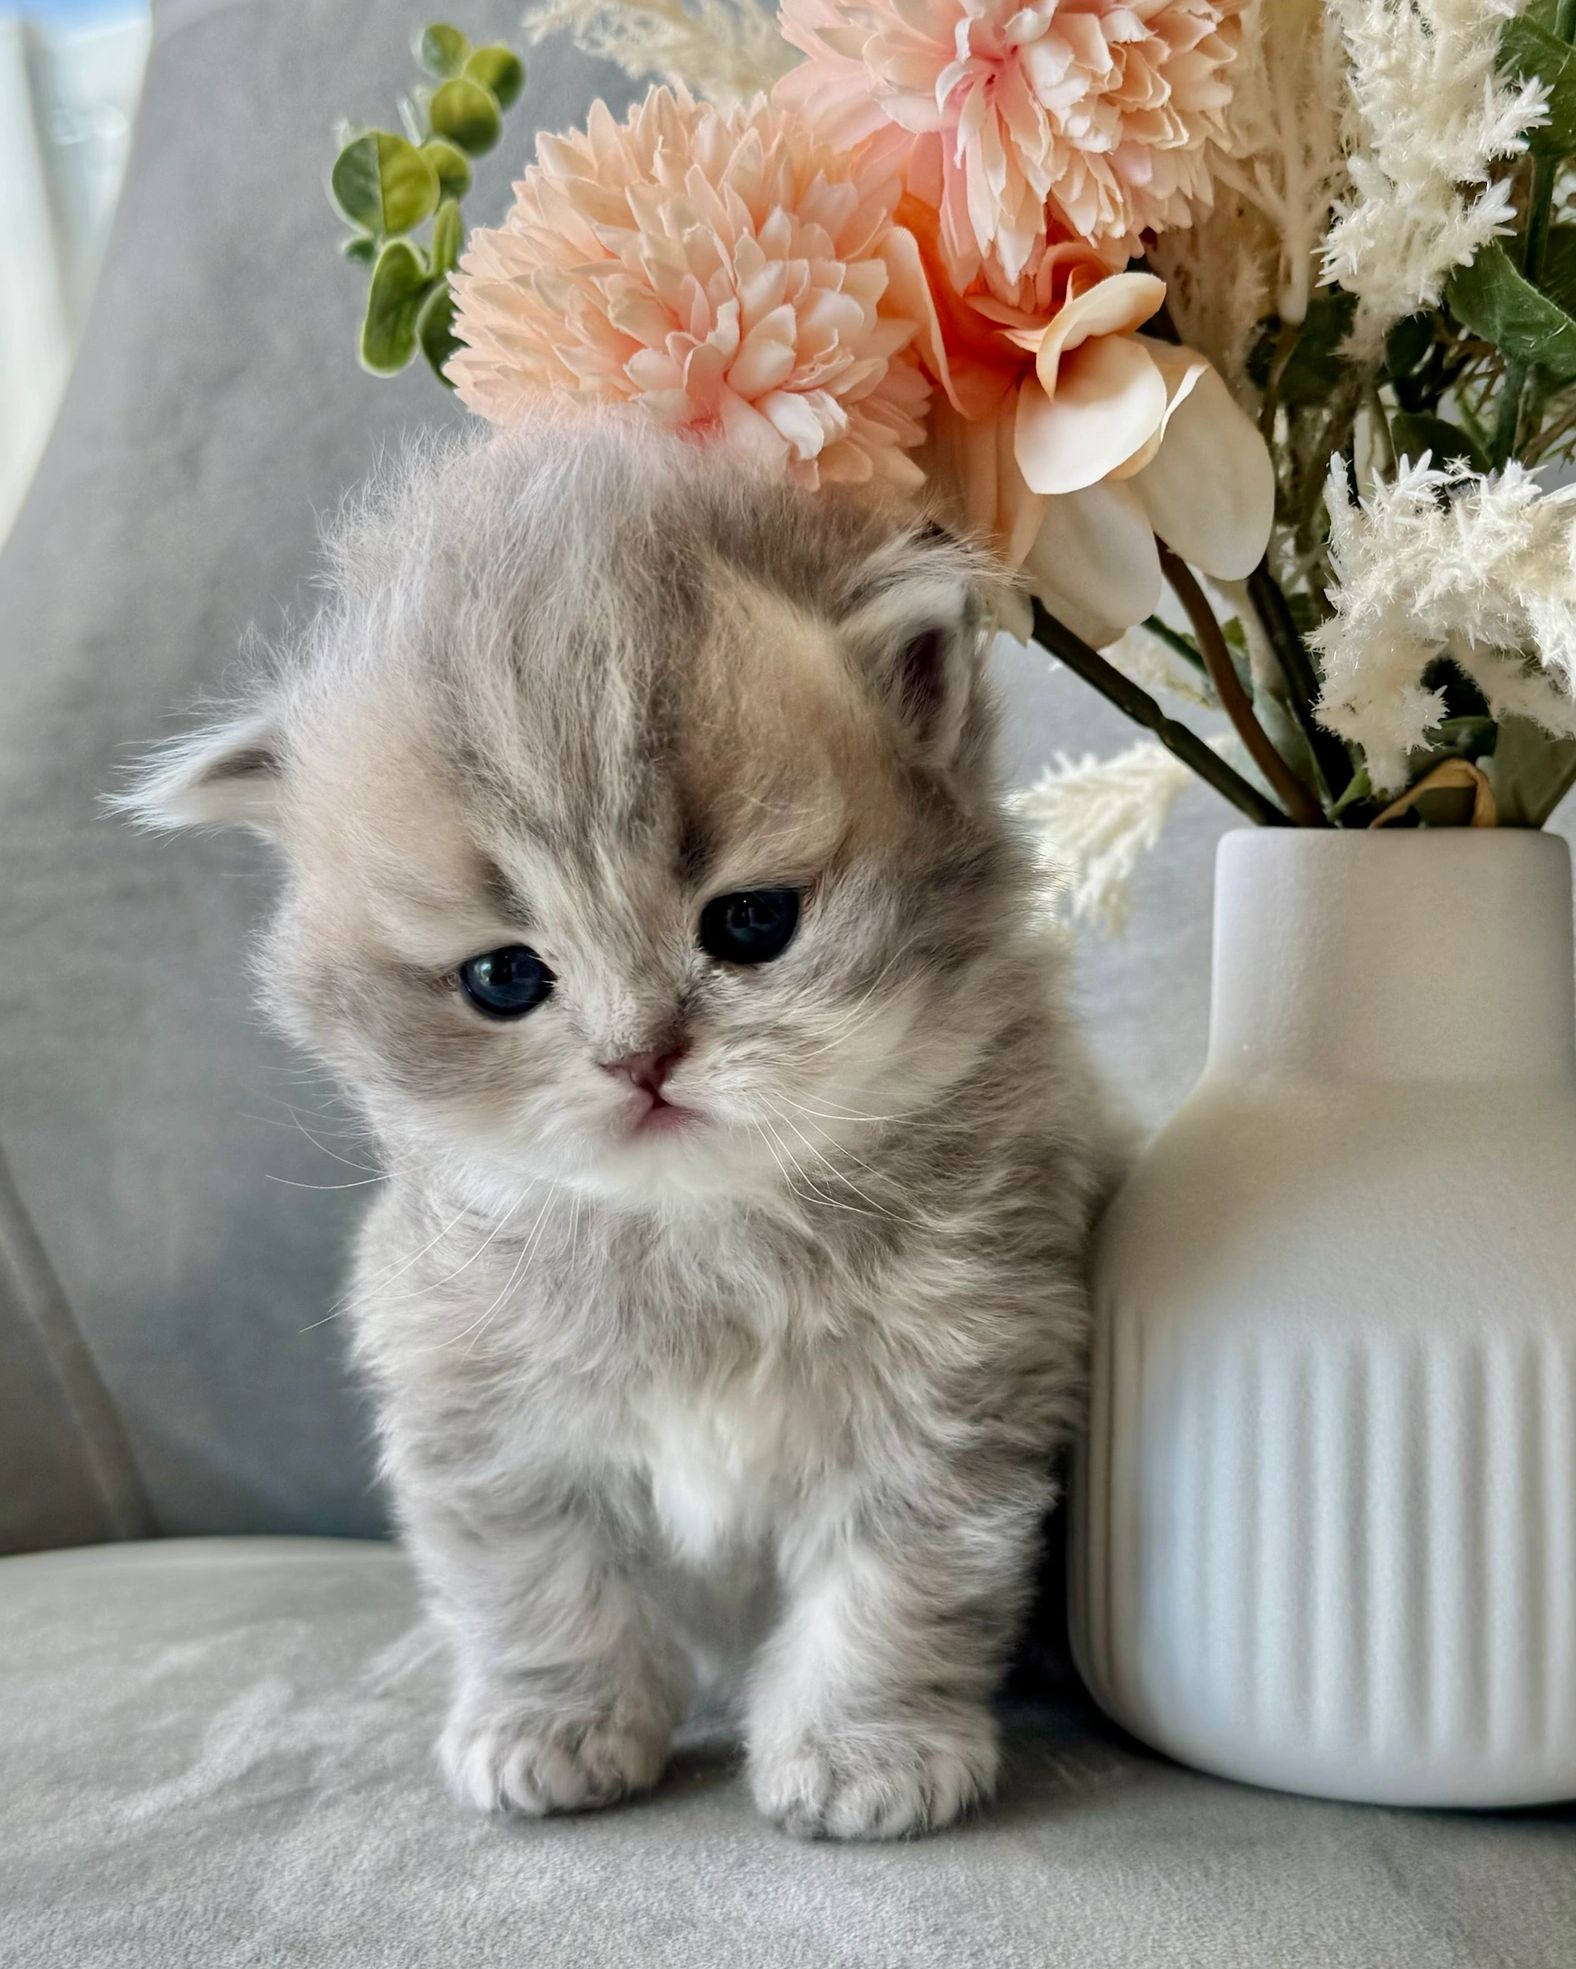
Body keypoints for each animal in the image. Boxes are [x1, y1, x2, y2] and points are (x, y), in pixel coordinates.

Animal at [129, 407, 1111, 1835]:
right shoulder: (484, 1420)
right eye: (504, 978)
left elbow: (890, 1594)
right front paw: (554, 1727)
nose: (639, 1057)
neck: (697, 1236)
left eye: (750, 924)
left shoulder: (957, 1396)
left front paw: (863, 1753)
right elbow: (538, 1587)